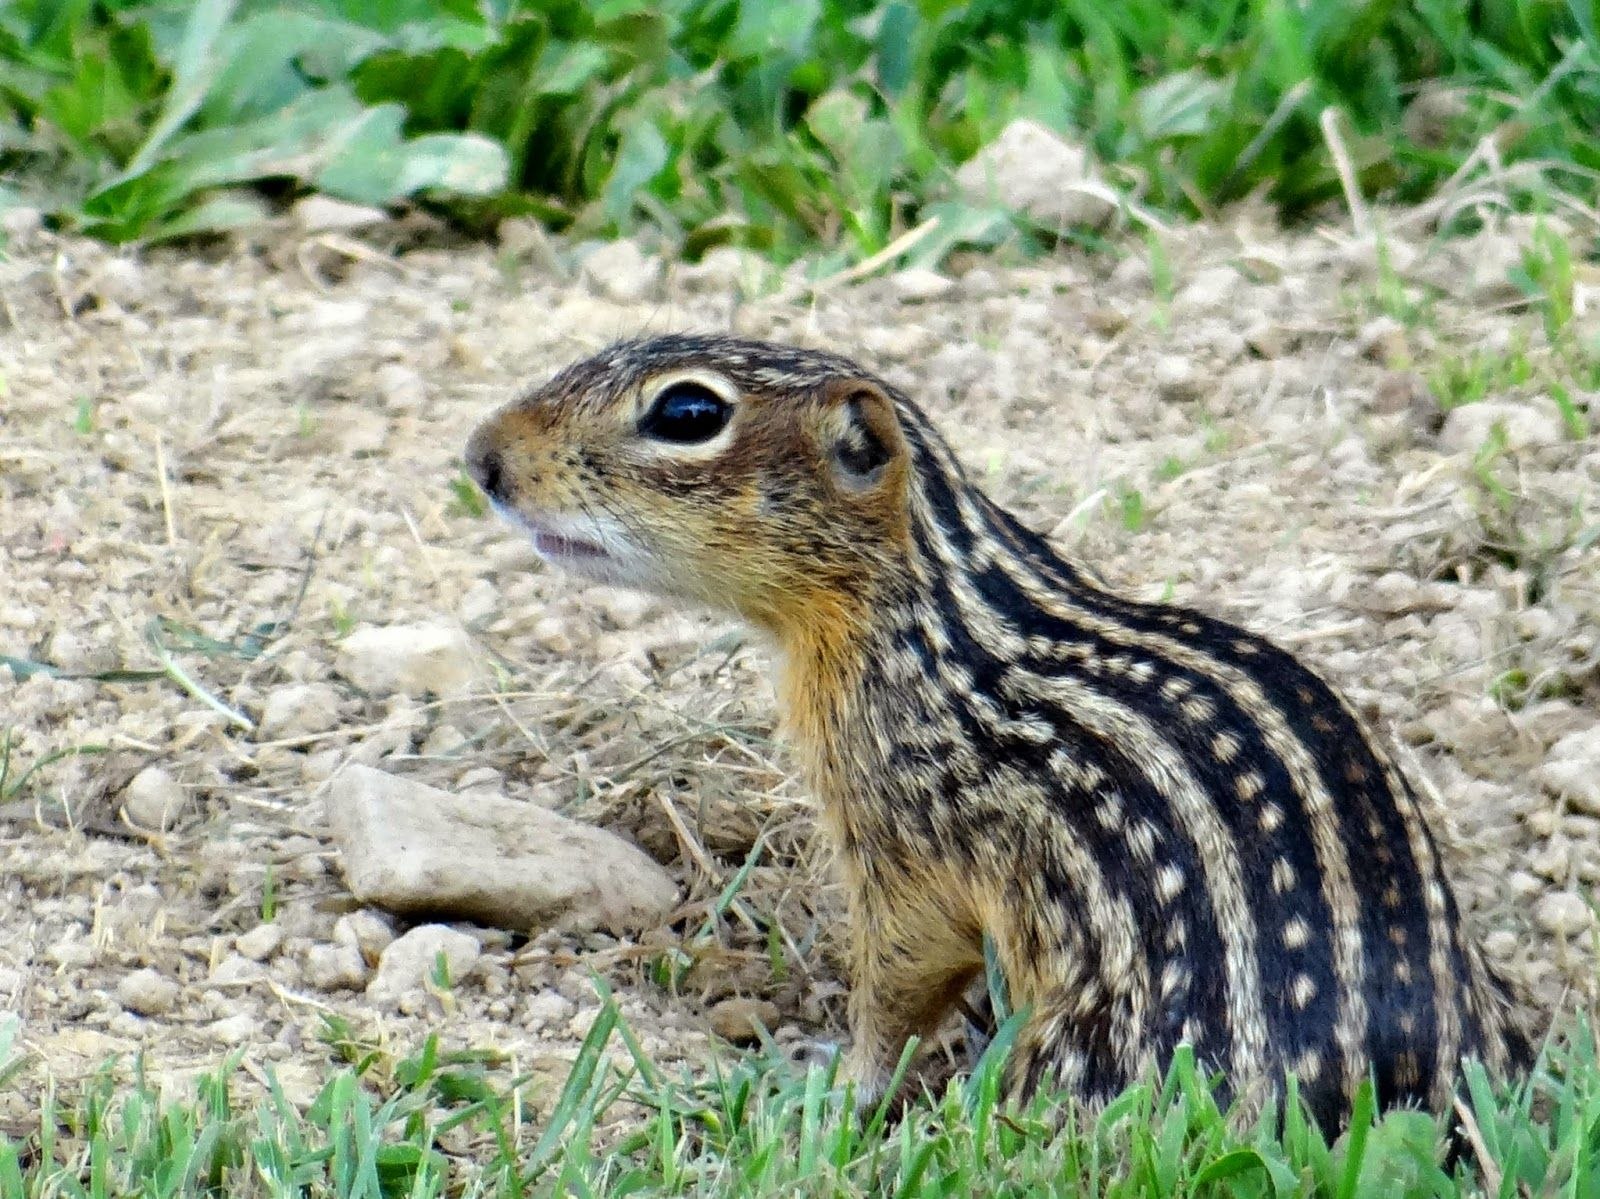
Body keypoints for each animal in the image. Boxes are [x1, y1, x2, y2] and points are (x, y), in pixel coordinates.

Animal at [464, 331, 1523, 1126]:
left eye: (687, 414)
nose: (481, 456)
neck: (933, 622)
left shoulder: (902, 834)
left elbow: (902, 978)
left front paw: (833, 1081)